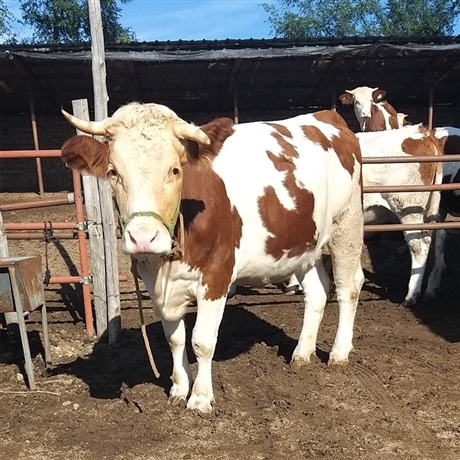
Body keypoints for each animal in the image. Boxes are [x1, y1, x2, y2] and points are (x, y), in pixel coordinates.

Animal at [61, 103, 364, 414]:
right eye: (113, 172)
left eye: (175, 170)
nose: (143, 238)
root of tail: (325, 116)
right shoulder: (155, 283)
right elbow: (175, 339)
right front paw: (179, 388)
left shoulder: (217, 276)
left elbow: (202, 341)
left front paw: (200, 398)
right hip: (304, 245)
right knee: (317, 291)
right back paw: (302, 354)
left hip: (347, 223)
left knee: (348, 287)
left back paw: (339, 353)